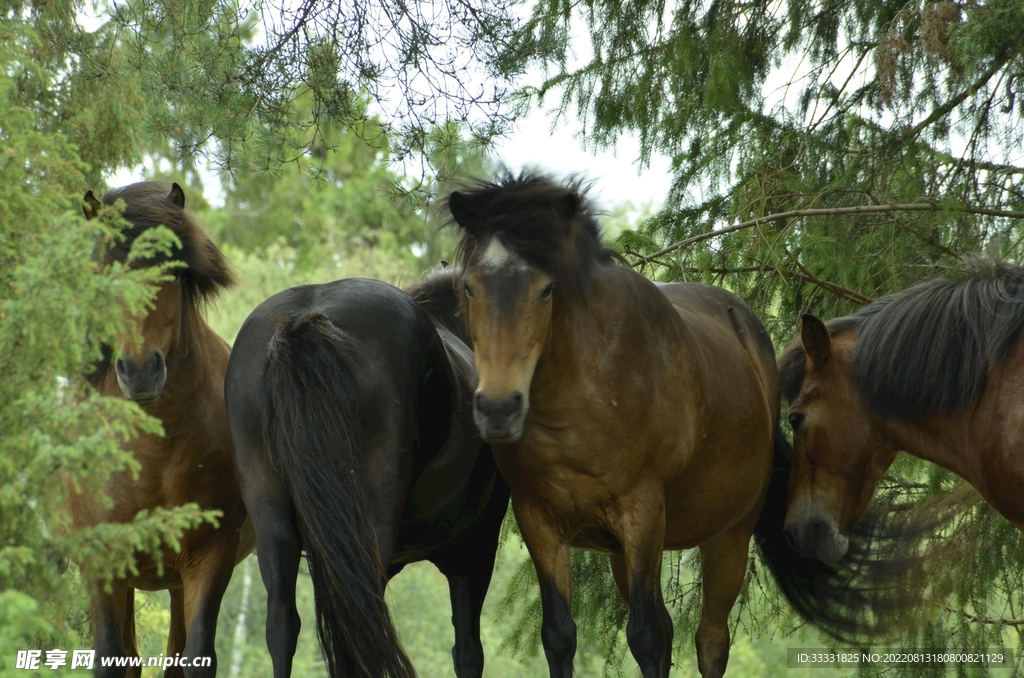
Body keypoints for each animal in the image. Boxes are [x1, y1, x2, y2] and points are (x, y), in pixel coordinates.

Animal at [67, 182, 255, 677]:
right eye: (106, 272)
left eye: (171, 271)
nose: (139, 372)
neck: (156, 450)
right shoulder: (102, 562)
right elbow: (111, 657)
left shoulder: (209, 556)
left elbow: (196, 658)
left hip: (176, 581)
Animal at [445, 172, 893, 678]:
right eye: (469, 288)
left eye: (545, 289)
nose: (498, 409)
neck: (582, 396)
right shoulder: (538, 520)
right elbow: (559, 636)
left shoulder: (641, 512)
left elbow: (646, 636)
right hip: (624, 554)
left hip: (727, 536)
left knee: (709, 639)